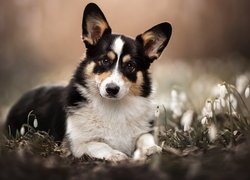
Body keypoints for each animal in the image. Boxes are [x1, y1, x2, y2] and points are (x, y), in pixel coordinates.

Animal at [5, 2, 172, 160]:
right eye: (105, 60)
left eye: (130, 65)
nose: (112, 89)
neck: (113, 107)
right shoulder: (77, 144)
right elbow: (99, 145)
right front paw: (116, 154)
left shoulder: (145, 131)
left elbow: (145, 138)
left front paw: (151, 149)